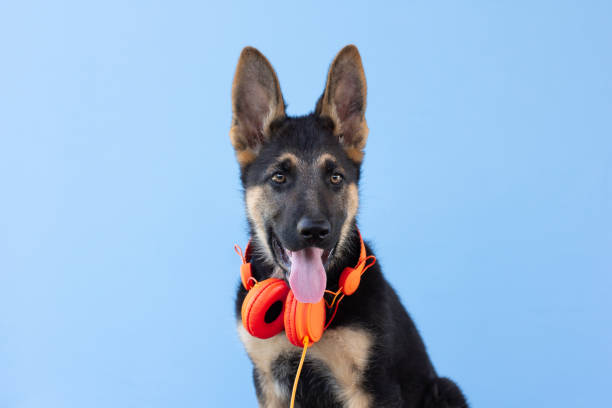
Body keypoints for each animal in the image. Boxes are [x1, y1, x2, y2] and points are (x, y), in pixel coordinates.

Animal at [230, 45, 468, 408]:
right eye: (279, 177)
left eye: (335, 178)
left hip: (446, 389)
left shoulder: (372, 388)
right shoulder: (269, 383)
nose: (315, 231)